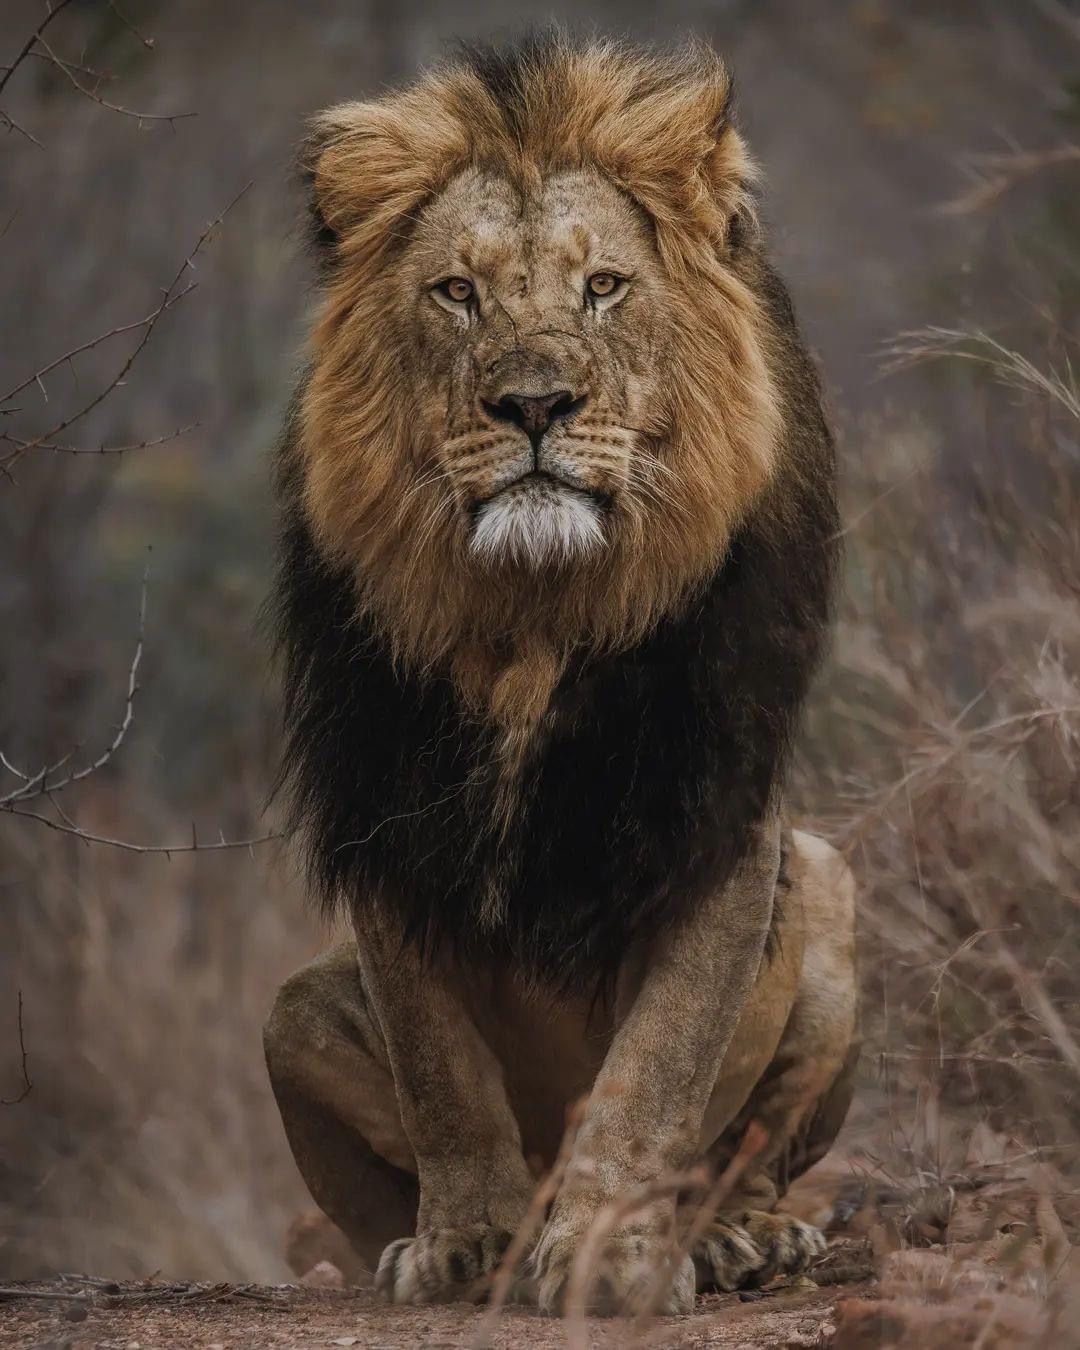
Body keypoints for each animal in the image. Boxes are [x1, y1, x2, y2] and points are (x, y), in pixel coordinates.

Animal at [263, 33, 857, 1316]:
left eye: (603, 288)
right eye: (457, 292)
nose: (534, 402)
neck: (535, 617)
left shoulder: (717, 824)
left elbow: (654, 1073)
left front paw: (612, 1257)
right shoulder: (388, 814)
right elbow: (439, 1069)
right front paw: (466, 1244)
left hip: (831, 897)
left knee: (753, 1154)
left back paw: (736, 1240)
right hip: (292, 1013)